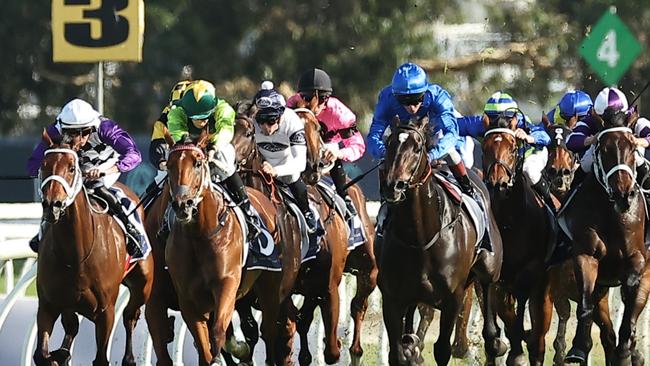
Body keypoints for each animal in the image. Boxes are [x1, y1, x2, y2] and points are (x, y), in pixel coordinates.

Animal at [34, 132, 153, 366]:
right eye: (44, 165)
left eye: (72, 167)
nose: (52, 205)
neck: (75, 254)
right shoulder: (48, 305)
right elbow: (41, 354)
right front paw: (57, 355)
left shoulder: (105, 312)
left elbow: (100, 358)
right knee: (72, 327)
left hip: (143, 283)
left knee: (130, 316)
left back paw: (129, 358)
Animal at [380, 116, 502, 366]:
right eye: (388, 144)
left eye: (417, 148)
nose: (393, 185)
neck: (419, 237)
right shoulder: (392, 299)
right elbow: (398, 353)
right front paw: (410, 351)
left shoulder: (452, 298)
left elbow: (442, 349)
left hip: (489, 270)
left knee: (490, 322)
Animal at [478, 116, 556, 364]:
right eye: (485, 148)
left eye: (513, 148)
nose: (499, 184)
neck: (509, 221)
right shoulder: (495, 270)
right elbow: (500, 307)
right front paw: (500, 343)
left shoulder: (530, 269)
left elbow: (521, 302)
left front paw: (517, 351)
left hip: (544, 286)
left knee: (540, 334)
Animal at [556, 111, 648, 366]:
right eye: (603, 149)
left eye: (632, 148)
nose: (624, 194)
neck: (613, 214)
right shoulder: (586, 256)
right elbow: (585, 304)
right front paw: (578, 348)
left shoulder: (637, 258)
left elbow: (630, 294)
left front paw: (627, 348)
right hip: (602, 288)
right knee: (607, 335)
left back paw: (629, 351)